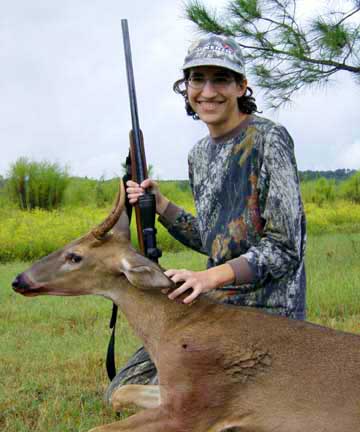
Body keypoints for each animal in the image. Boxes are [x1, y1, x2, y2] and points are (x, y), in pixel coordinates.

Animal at [11, 180, 360, 432]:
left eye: (75, 256)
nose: (18, 280)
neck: (168, 331)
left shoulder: (192, 406)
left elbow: (95, 429)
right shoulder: (171, 390)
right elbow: (119, 393)